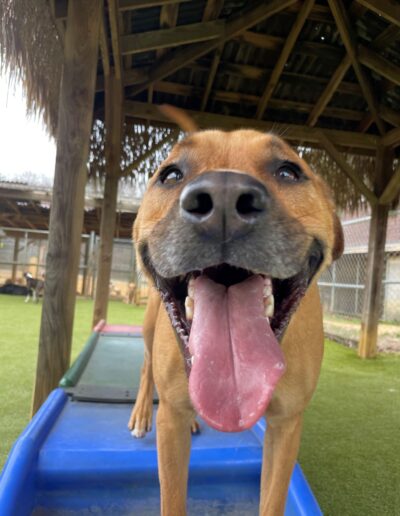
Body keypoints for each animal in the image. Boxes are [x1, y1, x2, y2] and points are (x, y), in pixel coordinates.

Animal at [128, 110, 344, 516]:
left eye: (289, 171)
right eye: (171, 175)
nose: (223, 197)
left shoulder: (285, 427)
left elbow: (273, 501)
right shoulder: (171, 422)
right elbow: (172, 499)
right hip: (150, 329)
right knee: (146, 364)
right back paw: (141, 413)